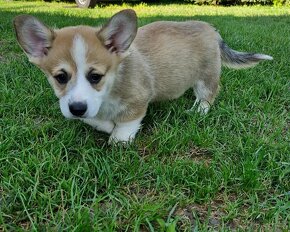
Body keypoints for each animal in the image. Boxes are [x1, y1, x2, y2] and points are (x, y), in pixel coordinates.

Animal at [13, 10, 272, 143]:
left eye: (95, 76)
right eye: (61, 77)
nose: (77, 108)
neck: (110, 88)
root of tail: (211, 29)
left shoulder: (137, 101)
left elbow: (125, 125)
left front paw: (118, 139)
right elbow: (95, 119)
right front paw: (105, 124)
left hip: (207, 76)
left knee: (208, 95)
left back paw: (198, 111)